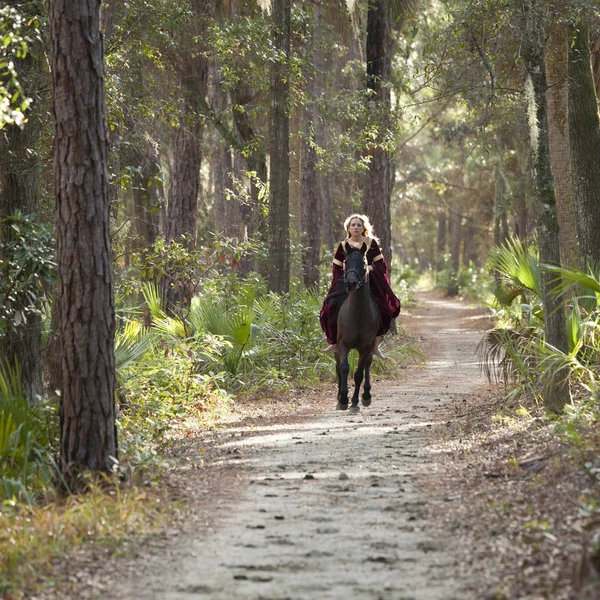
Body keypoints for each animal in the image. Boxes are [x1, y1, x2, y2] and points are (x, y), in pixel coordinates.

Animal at [336, 244, 378, 412]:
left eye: (363, 262)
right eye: (345, 261)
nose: (351, 283)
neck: (358, 314)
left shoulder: (366, 347)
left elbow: (359, 373)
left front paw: (354, 401)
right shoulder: (343, 344)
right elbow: (343, 368)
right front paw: (342, 398)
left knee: (367, 364)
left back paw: (366, 396)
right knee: (337, 366)